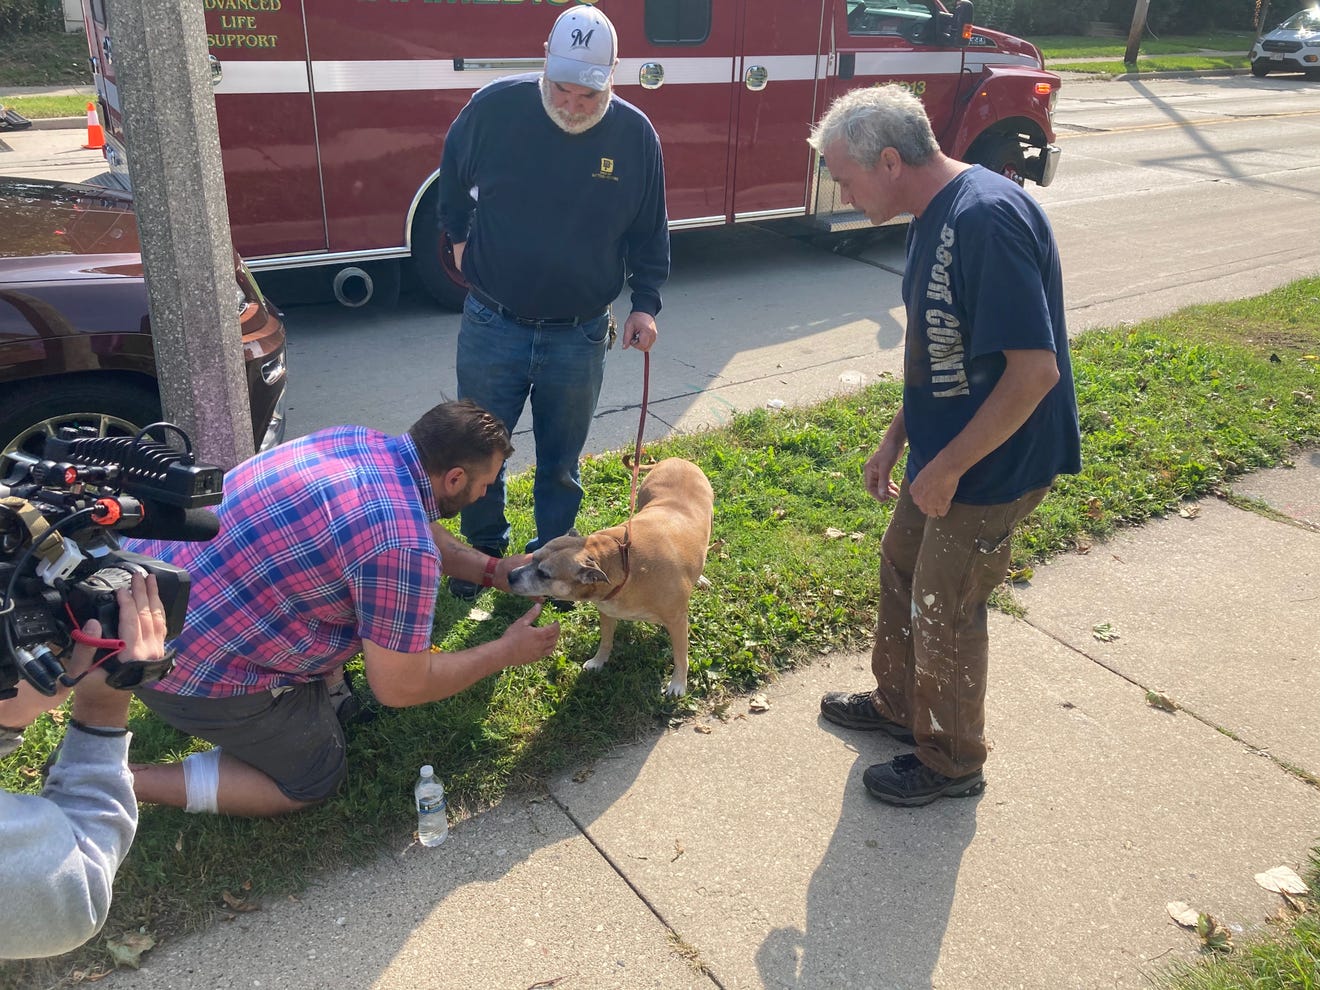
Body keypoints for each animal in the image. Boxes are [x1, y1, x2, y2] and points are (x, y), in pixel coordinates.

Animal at [504, 459, 712, 696]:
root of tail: (674, 460)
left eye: (543, 574)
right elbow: (606, 641)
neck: (624, 564)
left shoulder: (677, 621)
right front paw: (598, 661)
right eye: (533, 557)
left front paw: (678, 683)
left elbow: (681, 656)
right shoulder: (607, 611)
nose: (510, 576)